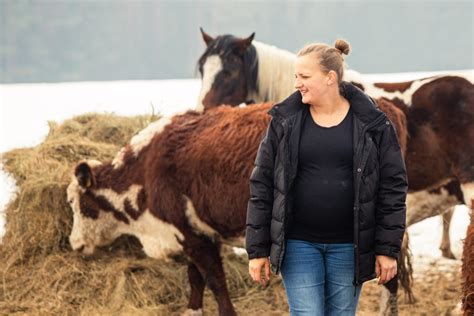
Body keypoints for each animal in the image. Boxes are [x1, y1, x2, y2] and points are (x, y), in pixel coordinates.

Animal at [67, 100, 412, 314]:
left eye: (75, 202)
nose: (74, 243)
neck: (146, 167)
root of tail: (388, 108)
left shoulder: (188, 235)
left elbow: (215, 282)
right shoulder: (197, 232)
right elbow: (196, 278)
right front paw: (192, 310)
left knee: (390, 278)